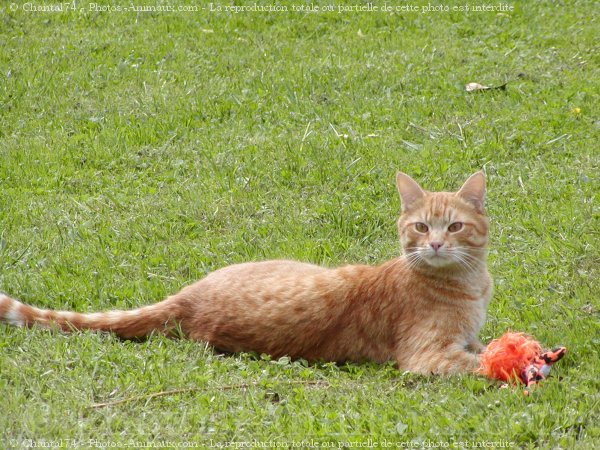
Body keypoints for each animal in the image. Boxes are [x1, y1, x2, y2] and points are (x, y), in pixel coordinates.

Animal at [0, 171, 492, 374]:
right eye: (421, 227)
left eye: (454, 226)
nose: (435, 244)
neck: (468, 281)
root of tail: (189, 298)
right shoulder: (428, 358)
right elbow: (483, 365)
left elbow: (482, 347)